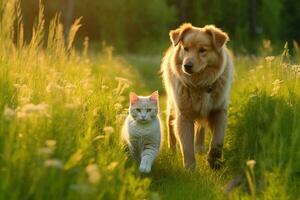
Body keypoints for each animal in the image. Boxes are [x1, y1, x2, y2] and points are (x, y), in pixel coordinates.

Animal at [162, 23, 234, 170]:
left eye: (202, 50)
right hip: (172, 105)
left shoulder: (219, 111)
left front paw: (213, 160)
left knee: (201, 128)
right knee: (170, 125)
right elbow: (187, 147)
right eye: (185, 48)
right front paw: (190, 170)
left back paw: (200, 148)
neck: (200, 84)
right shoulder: (184, 116)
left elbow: (218, 140)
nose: (187, 66)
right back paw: (172, 151)